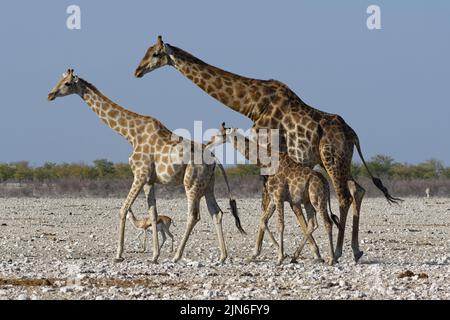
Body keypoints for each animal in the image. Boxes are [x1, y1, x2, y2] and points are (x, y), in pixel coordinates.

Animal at [47, 69, 244, 264]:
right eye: (59, 80)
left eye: (67, 83)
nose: (50, 95)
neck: (131, 134)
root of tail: (215, 159)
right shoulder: (149, 180)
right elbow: (153, 215)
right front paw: (154, 255)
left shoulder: (139, 175)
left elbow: (123, 210)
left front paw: (118, 254)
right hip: (208, 184)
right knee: (216, 213)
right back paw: (222, 256)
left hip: (191, 182)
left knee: (194, 215)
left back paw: (177, 256)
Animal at [206, 122, 340, 264]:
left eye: (218, 134)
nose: (208, 143)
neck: (266, 162)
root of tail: (326, 183)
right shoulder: (274, 198)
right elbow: (264, 220)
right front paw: (280, 254)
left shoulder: (279, 196)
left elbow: (280, 225)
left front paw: (280, 257)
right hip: (308, 201)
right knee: (313, 223)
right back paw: (296, 256)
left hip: (317, 199)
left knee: (327, 223)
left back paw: (331, 259)